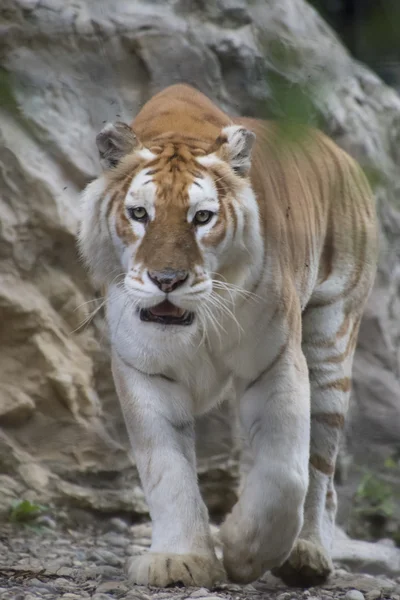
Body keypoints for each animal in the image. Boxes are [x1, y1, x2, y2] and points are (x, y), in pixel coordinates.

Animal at [78, 82, 378, 588]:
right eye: (139, 213)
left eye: (202, 218)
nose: (167, 280)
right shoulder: (145, 368)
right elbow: (168, 469)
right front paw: (180, 560)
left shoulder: (275, 360)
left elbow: (286, 474)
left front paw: (244, 550)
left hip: (331, 339)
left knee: (320, 468)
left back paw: (307, 555)